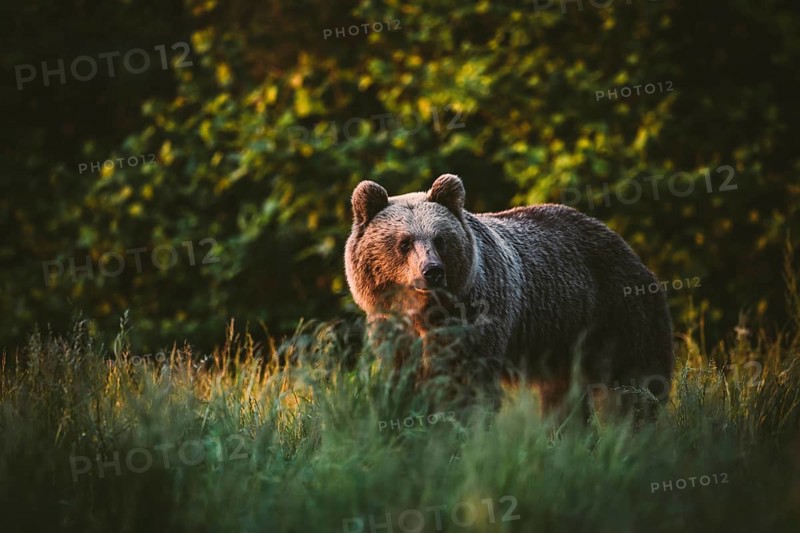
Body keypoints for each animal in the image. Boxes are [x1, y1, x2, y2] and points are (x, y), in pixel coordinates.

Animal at [344, 173, 674, 422]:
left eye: (440, 239)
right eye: (404, 242)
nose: (432, 271)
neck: (424, 311)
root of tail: (624, 244)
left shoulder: (475, 320)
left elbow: (462, 383)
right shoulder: (392, 328)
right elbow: (402, 382)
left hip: (617, 314)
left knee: (636, 382)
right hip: (562, 345)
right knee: (562, 397)